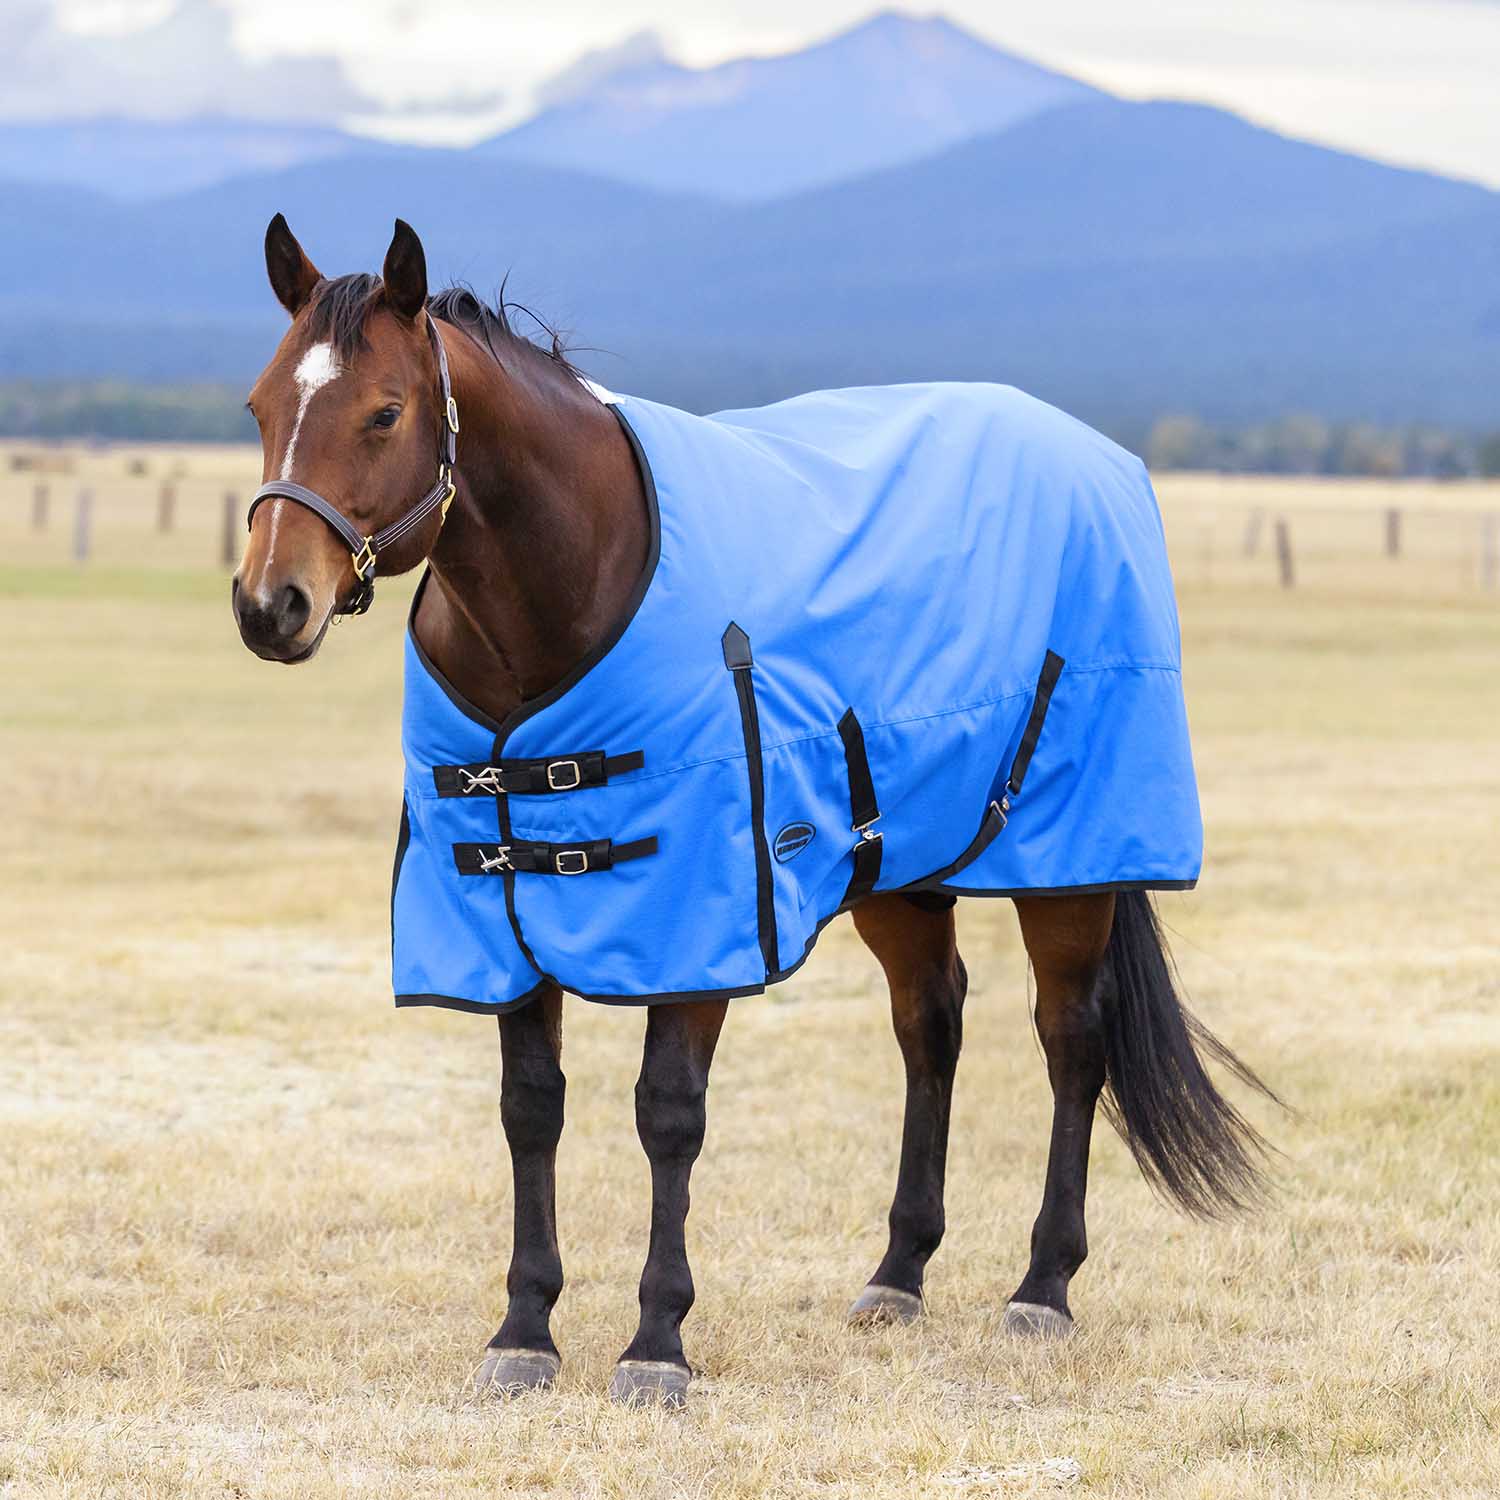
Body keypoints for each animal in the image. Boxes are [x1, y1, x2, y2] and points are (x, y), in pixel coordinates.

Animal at [232, 215, 1276, 1408]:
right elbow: (530, 1109)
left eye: (385, 412)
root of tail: (1095, 457)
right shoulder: (504, 911)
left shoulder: (700, 919)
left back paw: (1042, 1287)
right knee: (933, 1025)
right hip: (897, 868)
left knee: (1072, 1042)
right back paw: (899, 1272)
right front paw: (524, 1331)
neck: (568, 590)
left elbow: (667, 1115)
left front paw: (654, 1342)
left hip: (1072, 864)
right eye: (259, 406)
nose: (270, 605)